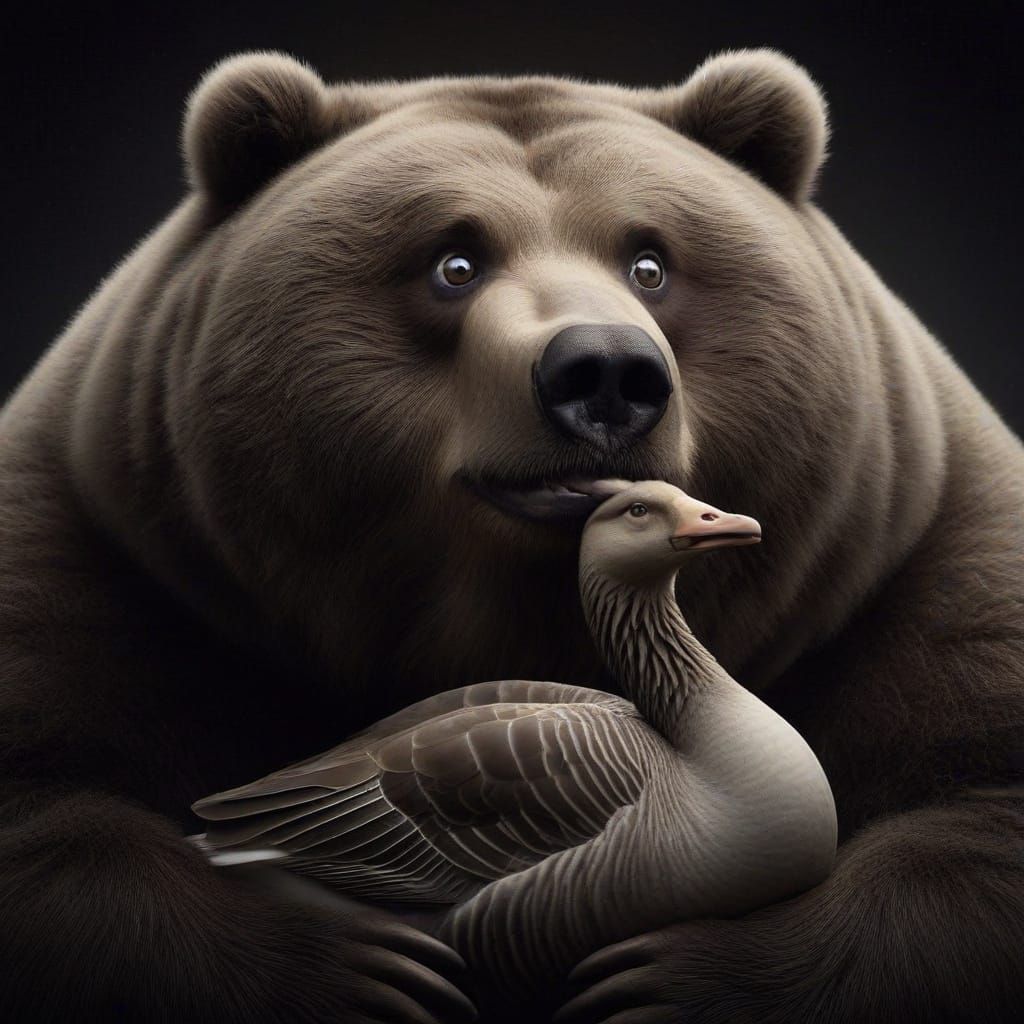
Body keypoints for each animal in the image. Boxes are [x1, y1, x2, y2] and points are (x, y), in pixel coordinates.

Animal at [1, 46, 1022, 1023]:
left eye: (651, 262)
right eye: (453, 263)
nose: (605, 370)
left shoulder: (915, 558)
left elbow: (974, 813)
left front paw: (668, 976)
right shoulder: (109, 551)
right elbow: (52, 812)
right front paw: (359, 972)